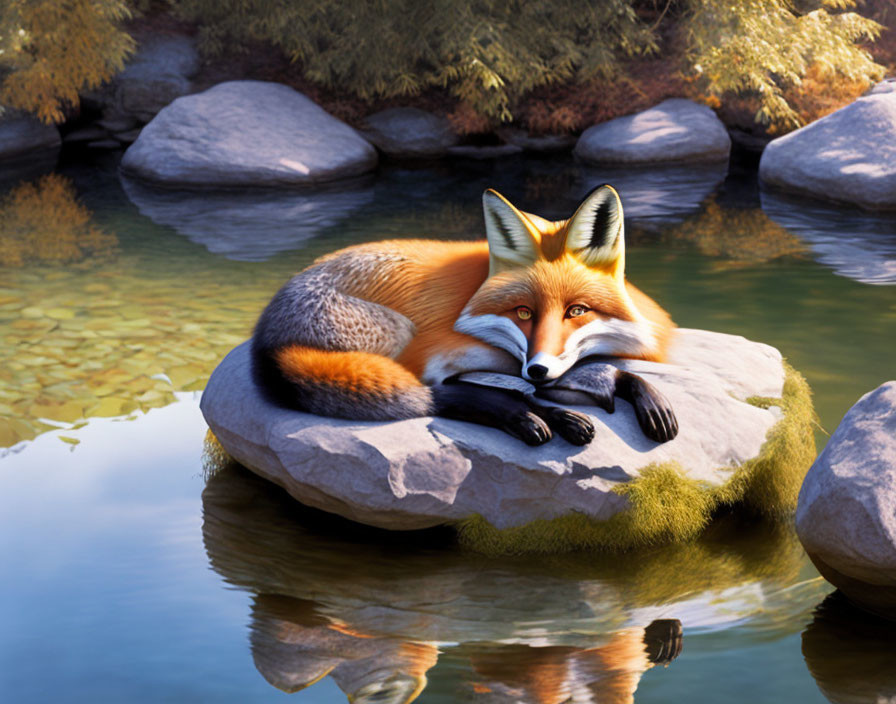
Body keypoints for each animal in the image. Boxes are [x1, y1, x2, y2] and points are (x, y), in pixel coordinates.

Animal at [248, 184, 676, 442]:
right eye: (523, 312)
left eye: (577, 311)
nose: (537, 369)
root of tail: (265, 337)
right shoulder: (441, 360)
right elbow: (485, 392)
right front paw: (543, 414)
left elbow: (606, 376)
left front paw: (644, 396)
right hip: (398, 332)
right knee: (438, 395)